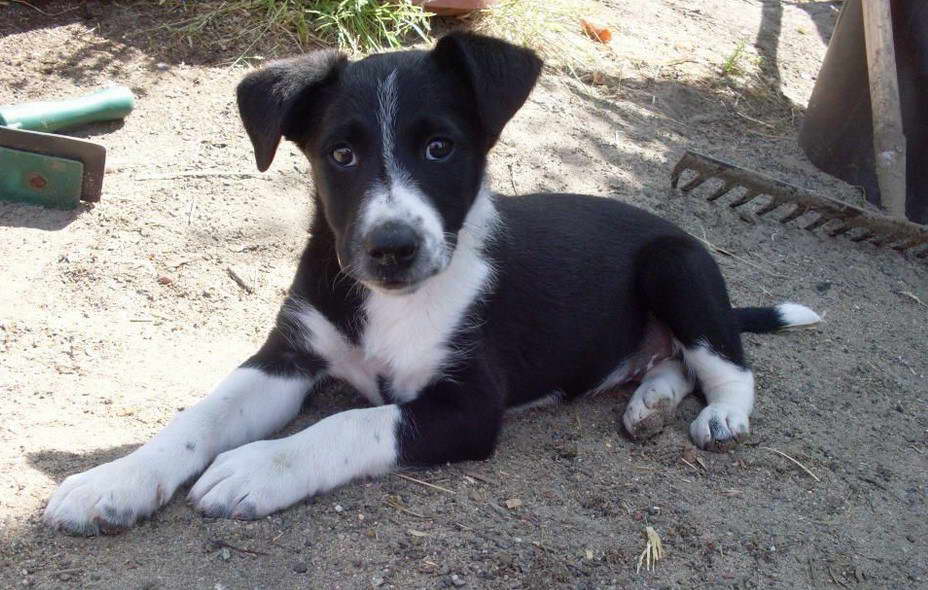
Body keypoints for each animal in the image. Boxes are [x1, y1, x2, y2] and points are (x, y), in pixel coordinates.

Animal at [43, 34, 820, 540]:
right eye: (341, 154)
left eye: (441, 148)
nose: (392, 247)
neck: (388, 303)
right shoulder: (289, 354)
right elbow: (198, 417)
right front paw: (115, 481)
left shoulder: (468, 406)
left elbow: (347, 424)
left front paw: (259, 467)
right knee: (673, 362)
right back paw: (650, 402)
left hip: (678, 267)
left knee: (724, 361)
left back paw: (720, 418)